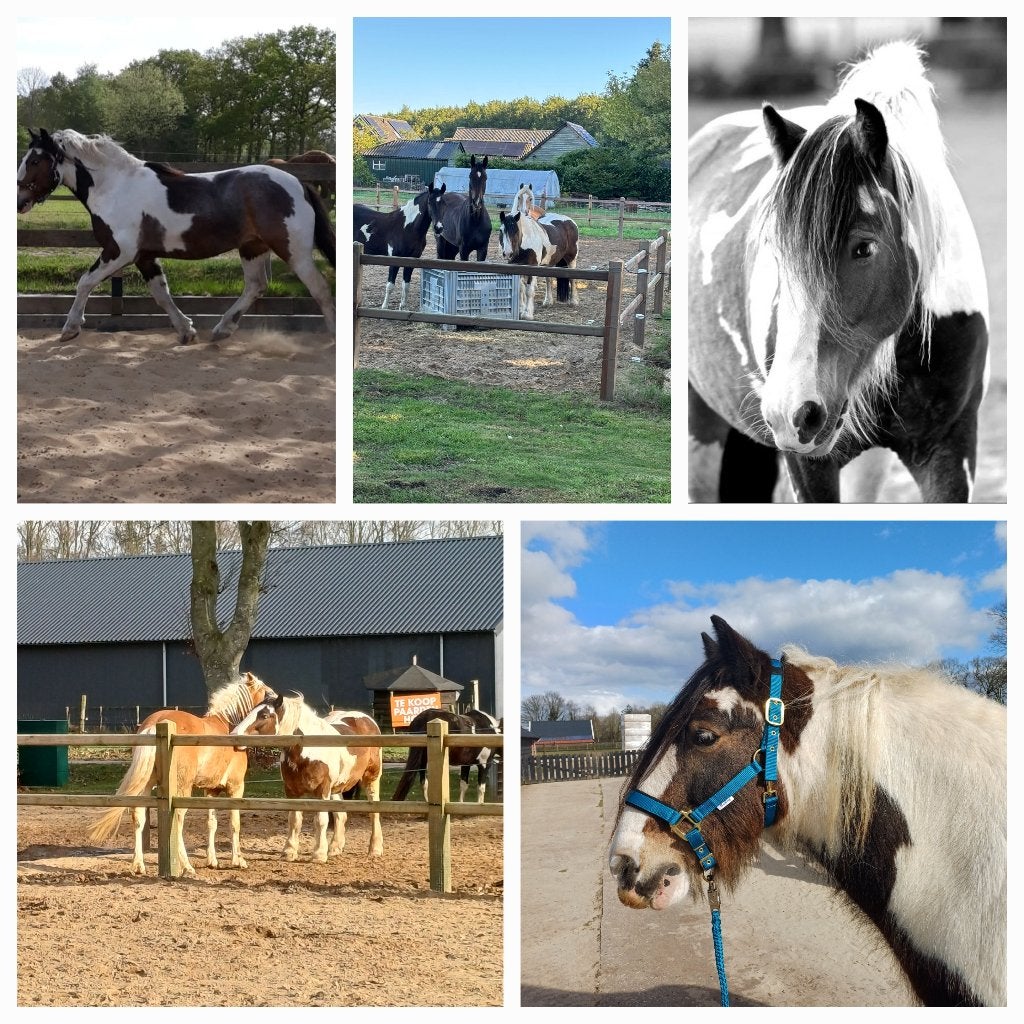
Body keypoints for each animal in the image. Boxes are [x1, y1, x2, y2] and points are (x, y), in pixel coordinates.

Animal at [17, 128, 336, 344]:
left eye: (34, 161)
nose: (20, 201)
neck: (114, 188)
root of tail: (298, 183)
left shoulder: (119, 252)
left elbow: (84, 282)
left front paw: (70, 329)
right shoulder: (144, 256)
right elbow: (162, 294)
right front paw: (186, 331)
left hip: (293, 250)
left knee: (320, 288)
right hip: (252, 247)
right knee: (256, 285)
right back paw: (222, 330)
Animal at [87, 672, 280, 876]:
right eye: (267, 694)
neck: (227, 727)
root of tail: (155, 724)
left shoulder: (211, 790)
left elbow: (211, 823)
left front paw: (212, 861)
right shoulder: (235, 787)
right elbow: (234, 823)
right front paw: (238, 860)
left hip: (146, 786)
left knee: (138, 817)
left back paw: (138, 865)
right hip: (181, 789)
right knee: (178, 820)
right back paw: (186, 865)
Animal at [234, 693, 383, 861]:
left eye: (264, 715)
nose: (234, 735)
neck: (308, 750)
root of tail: (367, 719)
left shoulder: (322, 790)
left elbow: (320, 820)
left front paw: (319, 854)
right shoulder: (292, 791)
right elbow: (294, 819)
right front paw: (289, 851)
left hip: (371, 778)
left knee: (373, 812)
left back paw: (375, 849)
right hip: (336, 787)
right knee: (341, 815)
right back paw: (334, 848)